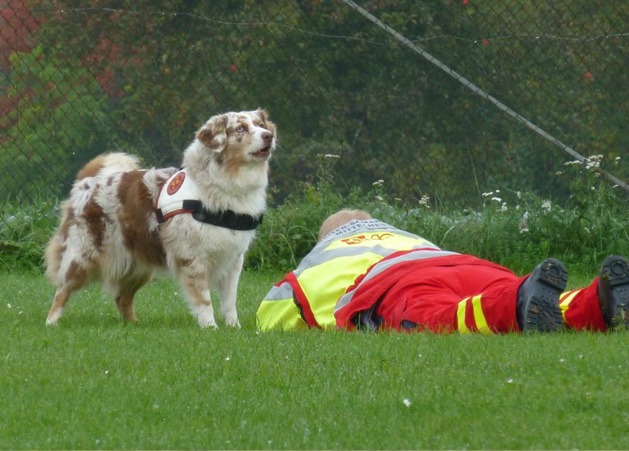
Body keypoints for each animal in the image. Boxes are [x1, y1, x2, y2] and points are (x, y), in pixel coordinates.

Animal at [45, 109, 276, 328]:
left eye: (261, 125)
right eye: (240, 129)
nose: (269, 135)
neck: (225, 181)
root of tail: (87, 182)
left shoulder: (233, 258)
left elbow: (229, 301)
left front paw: (234, 327)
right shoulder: (192, 257)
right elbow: (204, 299)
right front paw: (210, 327)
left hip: (138, 265)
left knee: (122, 297)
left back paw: (134, 325)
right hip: (83, 254)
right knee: (62, 290)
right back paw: (51, 323)